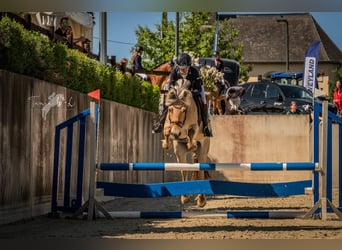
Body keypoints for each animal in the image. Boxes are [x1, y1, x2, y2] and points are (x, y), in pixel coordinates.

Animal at [162, 79, 210, 208]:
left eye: (184, 110)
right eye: (170, 109)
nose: (176, 133)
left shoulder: (195, 127)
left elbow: (191, 132)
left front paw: (191, 144)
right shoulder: (168, 125)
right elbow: (166, 130)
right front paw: (166, 144)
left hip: (203, 149)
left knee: (201, 170)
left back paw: (201, 200)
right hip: (180, 150)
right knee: (185, 168)